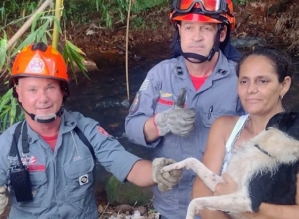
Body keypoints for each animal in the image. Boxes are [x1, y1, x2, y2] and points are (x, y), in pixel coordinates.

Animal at [163, 112, 299, 218]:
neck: (269, 150)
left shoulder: (248, 200)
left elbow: (196, 201)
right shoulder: (225, 184)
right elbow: (193, 160)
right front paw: (169, 167)